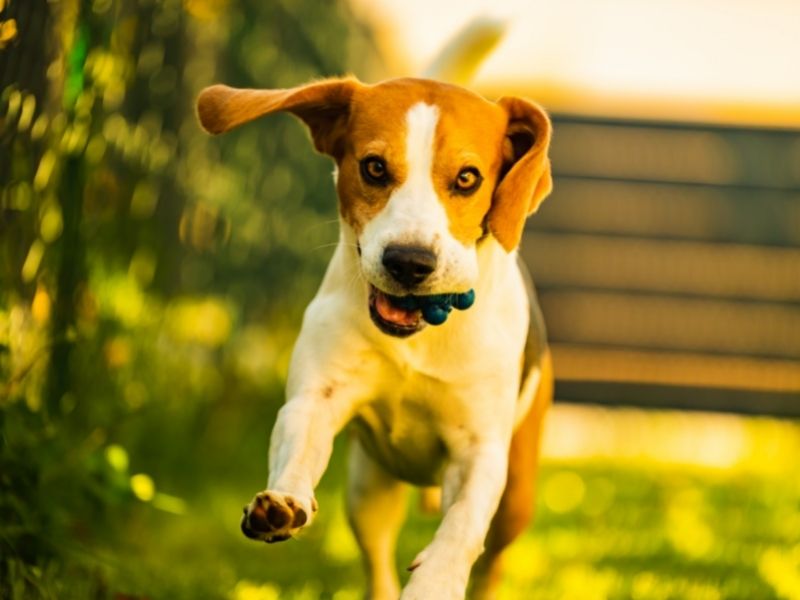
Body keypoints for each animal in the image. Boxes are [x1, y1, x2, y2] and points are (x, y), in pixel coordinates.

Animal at [197, 76, 552, 600]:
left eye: (468, 178)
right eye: (375, 167)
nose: (409, 261)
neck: (418, 336)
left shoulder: (479, 450)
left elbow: (463, 524)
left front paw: (437, 580)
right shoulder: (315, 399)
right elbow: (296, 446)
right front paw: (282, 502)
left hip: (516, 498)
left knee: (492, 563)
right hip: (368, 490)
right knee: (378, 558)